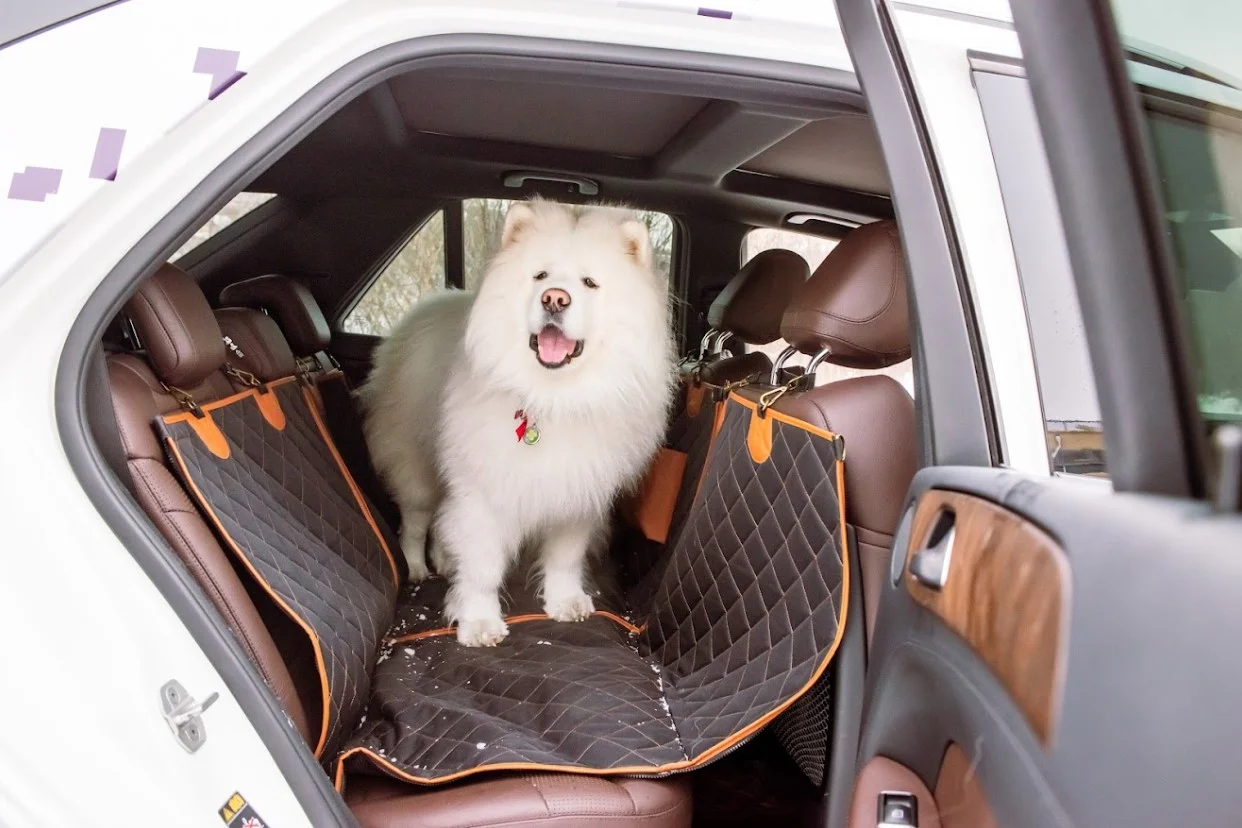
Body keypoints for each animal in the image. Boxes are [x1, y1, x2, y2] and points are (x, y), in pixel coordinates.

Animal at [360, 201, 675, 645]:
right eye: (540, 275)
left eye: (590, 283)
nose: (555, 299)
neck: (552, 398)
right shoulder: (483, 494)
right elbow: (483, 569)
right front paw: (478, 623)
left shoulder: (578, 495)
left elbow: (564, 558)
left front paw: (565, 603)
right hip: (415, 463)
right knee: (416, 521)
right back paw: (418, 568)